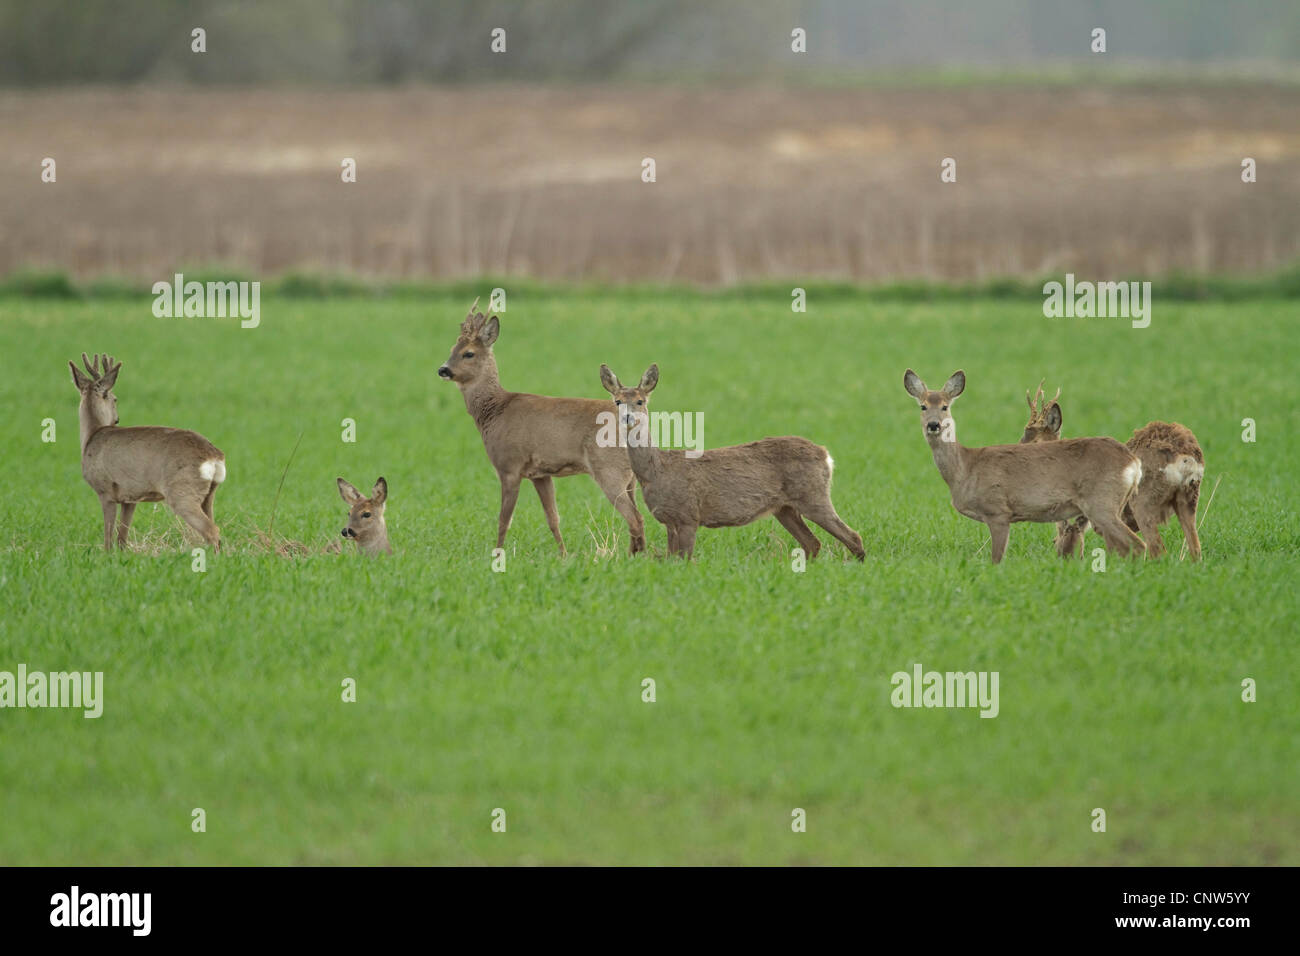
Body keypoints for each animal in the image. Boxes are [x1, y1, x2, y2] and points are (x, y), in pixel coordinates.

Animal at [69, 352, 225, 552]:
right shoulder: (130, 498)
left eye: (115, 398)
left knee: (212, 530)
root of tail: (215, 456)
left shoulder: (105, 490)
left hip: (182, 491)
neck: (92, 436)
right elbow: (122, 537)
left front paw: (107, 555)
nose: (117, 419)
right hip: (209, 494)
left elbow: (108, 538)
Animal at [437, 300, 645, 556]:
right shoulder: (541, 473)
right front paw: (564, 555)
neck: (495, 411)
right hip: (629, 477)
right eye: (452, 348)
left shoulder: (509, 465)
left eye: (468, 353)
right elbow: (553, 518)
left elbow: (504, 520)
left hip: (609, 469)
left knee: (636, 518)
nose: (443, 370)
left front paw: (497, 553)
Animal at [600, 364, 865, 560]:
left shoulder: (688, 515)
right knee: (813, 543)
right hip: (785, 508)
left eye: (640, 401)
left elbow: (684, 559)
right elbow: (671, 559)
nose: (627, 417)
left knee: (853, 537)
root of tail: (825, 455)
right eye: (617, 401)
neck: (656, 471)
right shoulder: (669, 520)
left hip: (813, 495)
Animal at [903, 369, 1145, 564]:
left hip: (1101, 502)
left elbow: (996, 559)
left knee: (1137, 545)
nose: (934, 425)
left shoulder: (998, 510)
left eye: (945, 406)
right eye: (923, 406)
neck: (965, 469)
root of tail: (1133, 461)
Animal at [1018, 381, 1205, 560]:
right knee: (1196, 551)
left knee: (1157, 550)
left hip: (1143, 501)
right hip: (1188, 499)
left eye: (1035, 441)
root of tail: (1185, 455)